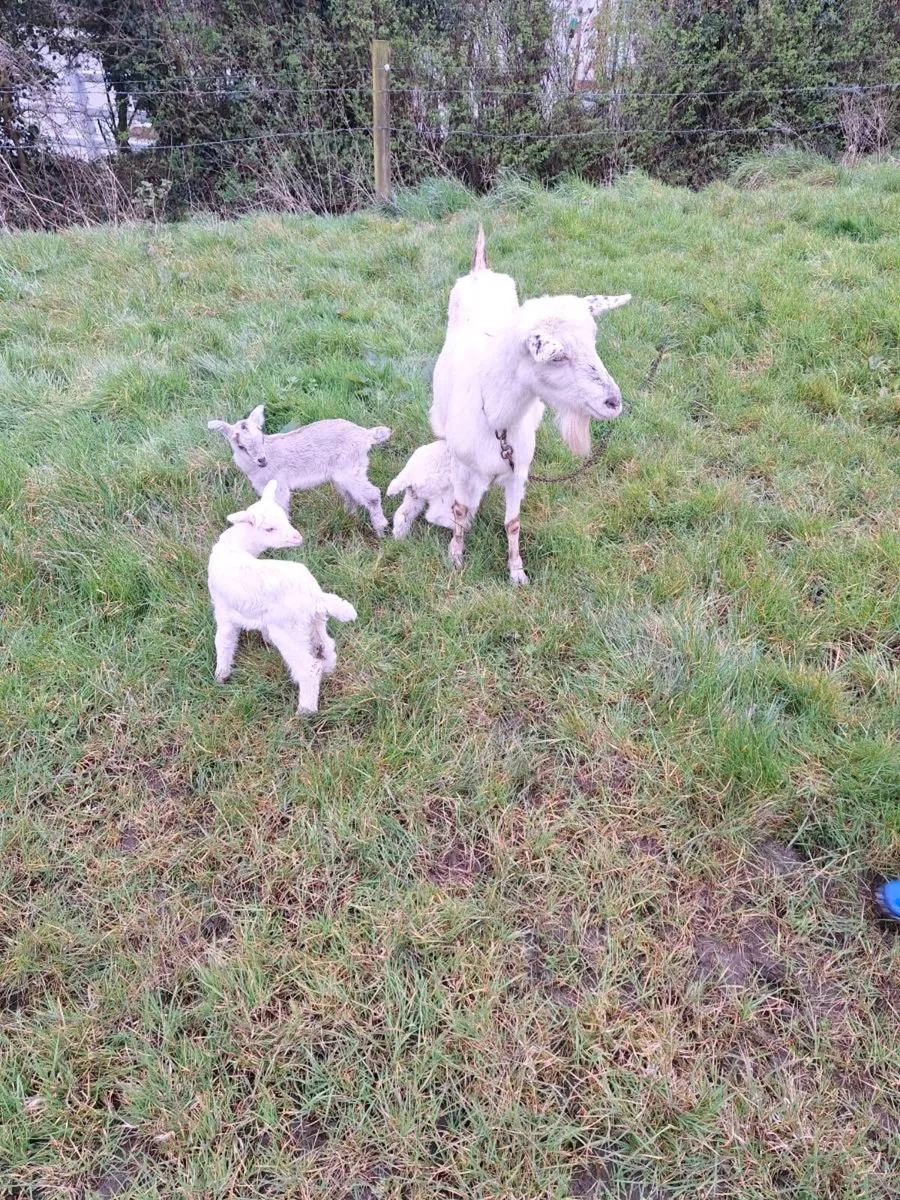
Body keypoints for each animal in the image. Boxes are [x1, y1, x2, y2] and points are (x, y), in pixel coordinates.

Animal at [207, 405, 391, 536]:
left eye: (262, 437)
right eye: (240, 446)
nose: (262, 460)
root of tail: (365, 434)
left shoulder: (278, 484)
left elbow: (280, 507)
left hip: (349, 468)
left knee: (372, 494)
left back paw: (380, 530)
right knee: (349, 494)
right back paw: (349, 517)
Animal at [207, 479, 357, 714]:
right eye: (269, 528)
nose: (297, 537)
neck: (235, 547)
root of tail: (315, 596)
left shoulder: (223, 611)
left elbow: (223, 641)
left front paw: (221, 674)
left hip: (288, 631)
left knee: (310, 668)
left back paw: (305, 711)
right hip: (314, 623)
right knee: (326, 648)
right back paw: (329, 671)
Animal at [429, 225, 630, 584]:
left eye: (594, 340)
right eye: (558, 356)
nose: (613, 402)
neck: (496, 418)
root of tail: (481, 271)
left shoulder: (519, 469)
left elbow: (513, 522)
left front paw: (517, 572)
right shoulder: (461, 464)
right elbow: (459, 509)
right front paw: (455, 556)